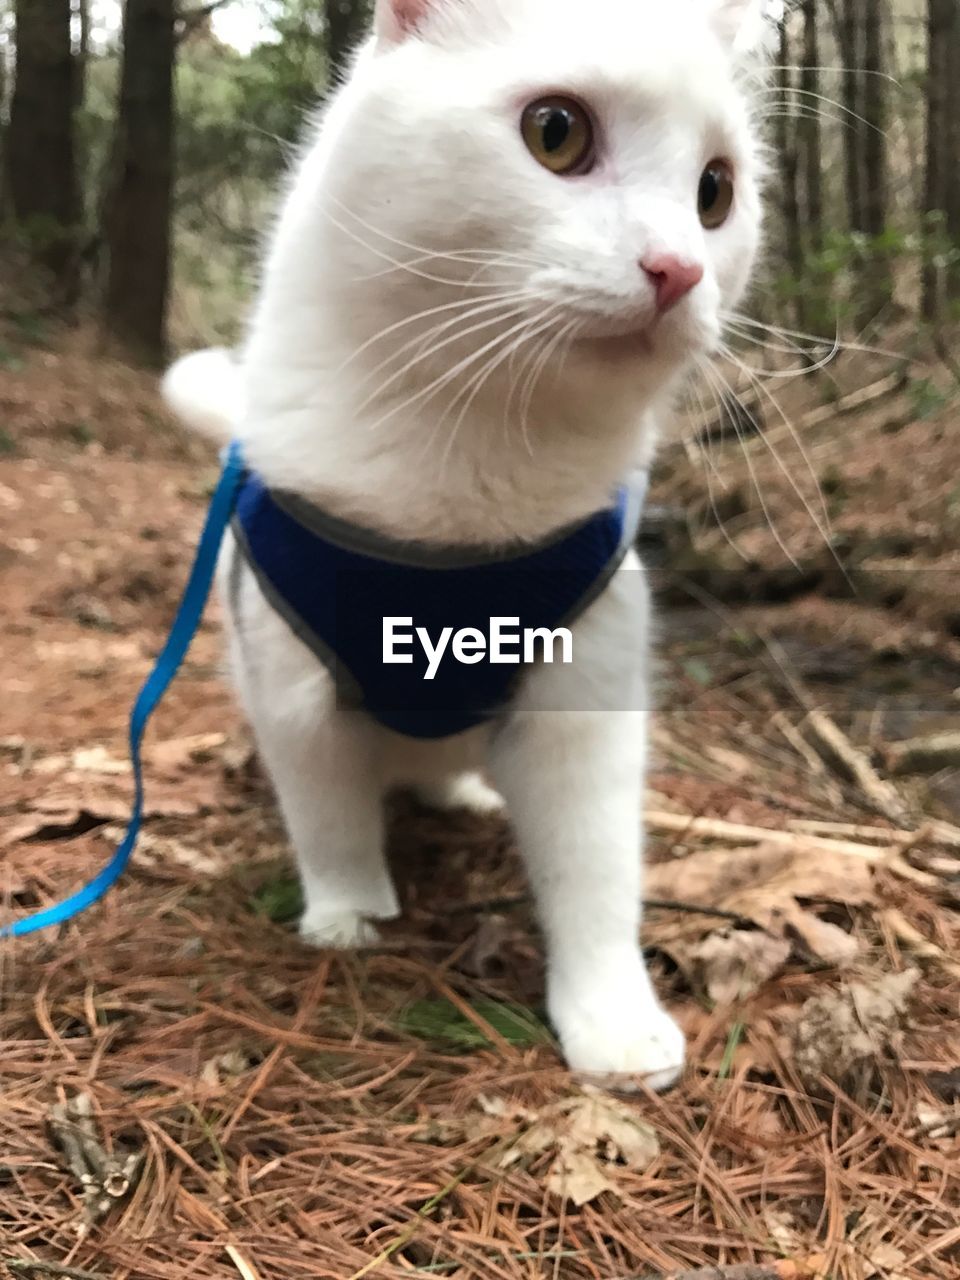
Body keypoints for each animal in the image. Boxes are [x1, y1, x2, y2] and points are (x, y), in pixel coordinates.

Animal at [165, 0, 778, 1090]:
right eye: (556, 132)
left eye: (717, 190)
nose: (680, 268)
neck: (474, 466)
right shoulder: (293, 694)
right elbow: (328, 817)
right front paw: (349, 917)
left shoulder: (588, 697)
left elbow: (597, 874)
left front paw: (615, 1022)